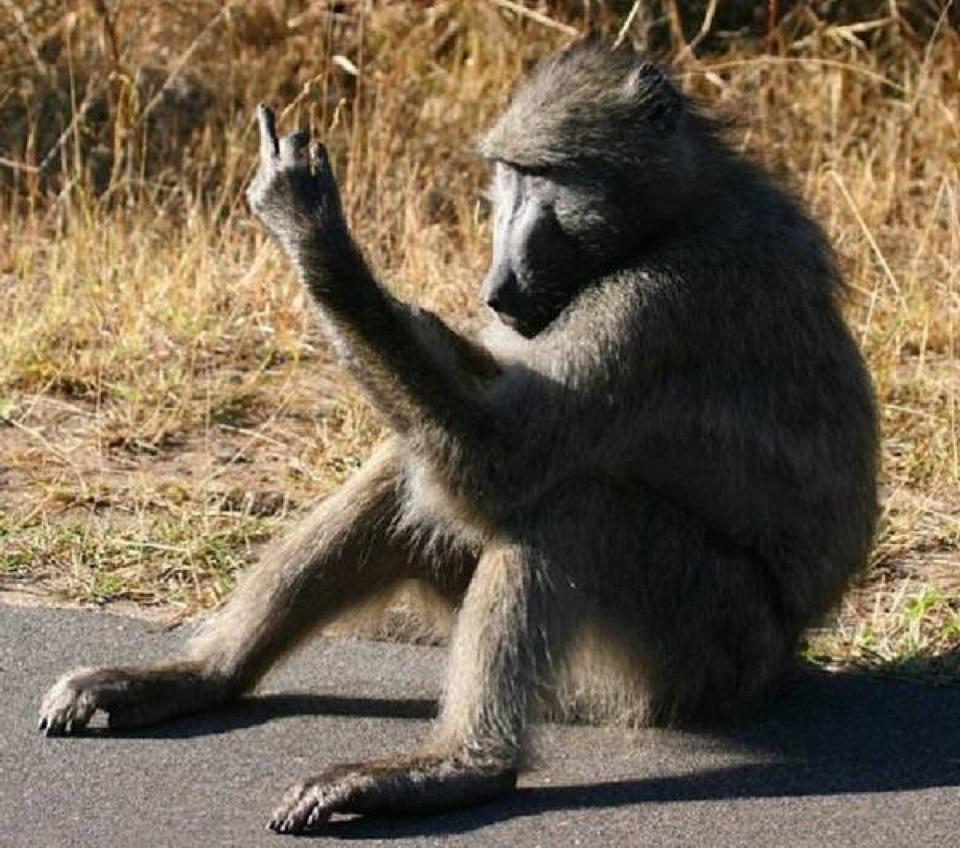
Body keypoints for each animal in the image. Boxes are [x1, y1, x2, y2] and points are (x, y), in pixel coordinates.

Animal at [38, 43, 878, 833]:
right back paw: (204, 677)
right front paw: (426, 321)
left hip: (697, 654)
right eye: (508, 175)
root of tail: (782, 660)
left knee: (574, 508)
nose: (498, 282)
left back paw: (460, 767)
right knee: (408, 464)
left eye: (549, 177)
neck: (680, 208)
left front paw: (317, 239)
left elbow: (500, 464)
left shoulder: (662, 302)